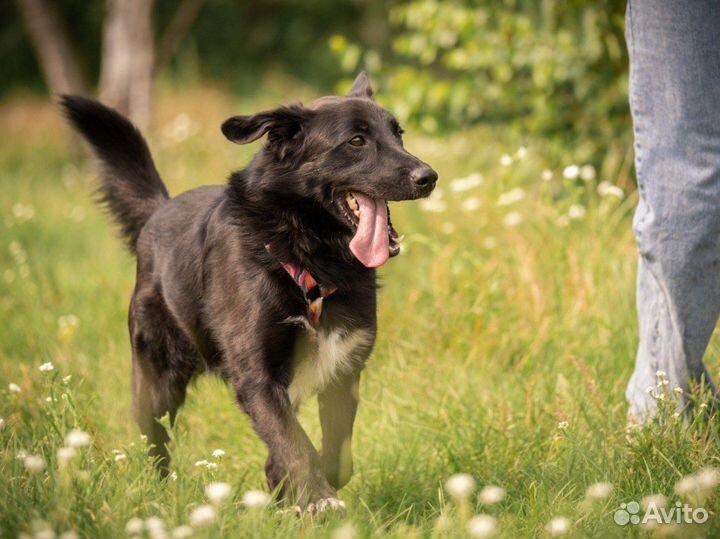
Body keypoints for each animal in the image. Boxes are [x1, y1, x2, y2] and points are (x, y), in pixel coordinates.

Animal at [62, 73, 436, 516]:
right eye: (357, 141)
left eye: (398, 135)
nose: (429, 177)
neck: (305, 256)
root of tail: (160, 209)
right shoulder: (257, 376)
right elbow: (296, 445)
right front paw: (318, 500)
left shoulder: (342, 372)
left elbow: (329, 454)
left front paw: (297, 495)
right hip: (156, 379)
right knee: (155, 447)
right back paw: (161, 496)